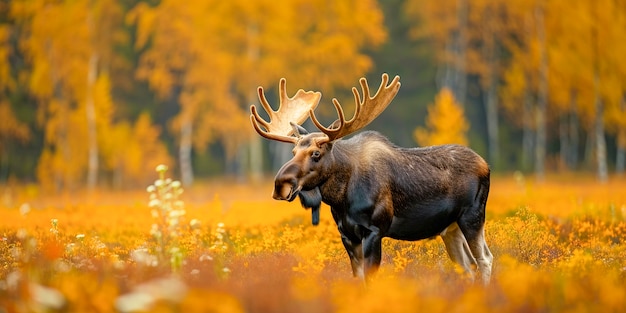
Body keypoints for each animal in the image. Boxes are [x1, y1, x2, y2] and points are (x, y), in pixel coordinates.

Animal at [249, 73, 492, 282]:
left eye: (316, 153)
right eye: (293, 152)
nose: (280, 185)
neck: (341, 198)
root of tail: (486, 165)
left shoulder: (374, 230)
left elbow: (370, 278)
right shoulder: (347, 235)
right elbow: (358, 278)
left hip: (472, 216)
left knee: (484, 259)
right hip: (450, 228)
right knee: (468, 266)